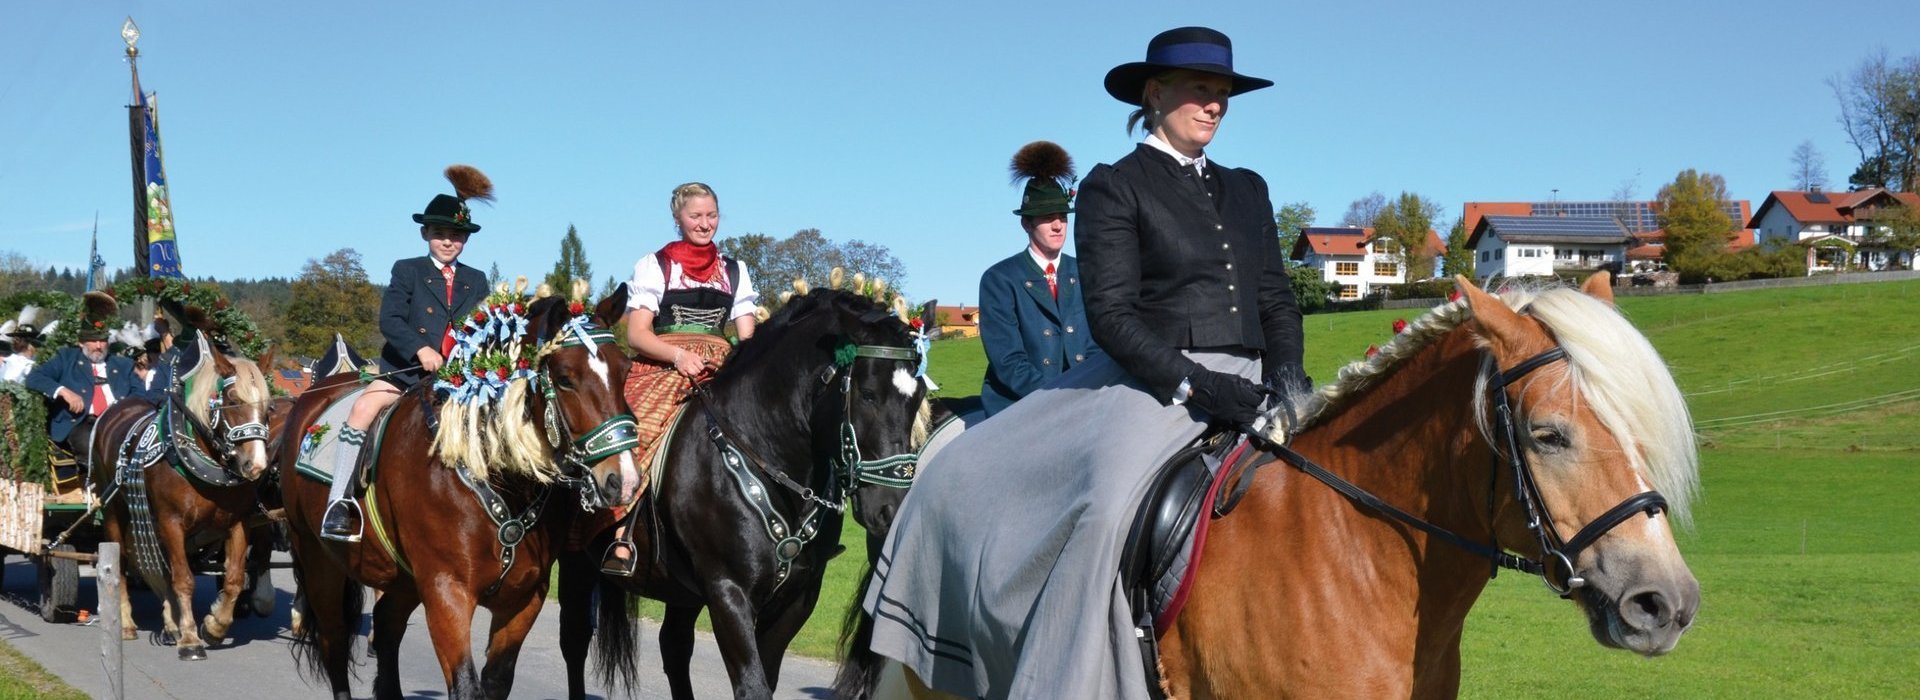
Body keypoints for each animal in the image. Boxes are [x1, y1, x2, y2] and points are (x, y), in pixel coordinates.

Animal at [90, 314, 276, 655]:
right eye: (233, 400)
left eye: (269, 407)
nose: (255, 465)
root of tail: (118, 408)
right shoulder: (171, 522)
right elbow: (183, 579)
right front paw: (190, 638)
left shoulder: (238, 523)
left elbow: (232, 578)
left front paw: (214, 626)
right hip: (114, 512)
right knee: (119, 564)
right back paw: (127, 623)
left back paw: (170, 623)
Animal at [278, 278, 641, 698]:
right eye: (565, 377)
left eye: (625, 371)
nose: (624, 480)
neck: (491, 474)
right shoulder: (446, 592)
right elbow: (466, 684)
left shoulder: (523, 598)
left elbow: (496, 679)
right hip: (317, 558)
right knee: (335, 641)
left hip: (402, 579)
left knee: (385, 628)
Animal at [556, 270, 936, 698]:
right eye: (868, 394)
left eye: (919, 395)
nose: (891, 508)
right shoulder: (728, 592)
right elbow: (752, 685)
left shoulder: (798, 598)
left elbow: (764, 678)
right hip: (575, 560)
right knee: (575, 640)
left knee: (674, 648)